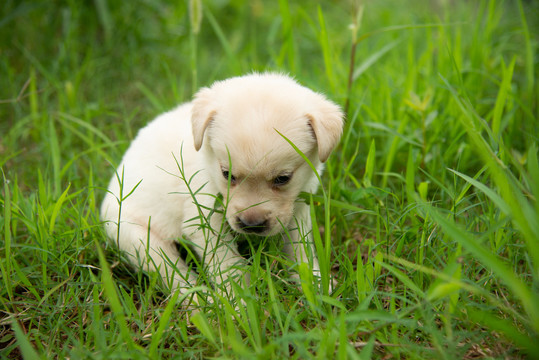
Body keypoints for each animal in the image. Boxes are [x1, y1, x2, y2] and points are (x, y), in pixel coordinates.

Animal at [100, 72, 344, 300]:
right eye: (227, 174)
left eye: (283, 178)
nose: (251, 224)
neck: (208, 166)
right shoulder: (203, 220)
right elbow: (227, 263)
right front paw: (238, 301)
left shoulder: (299, 206)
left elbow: (300, 248)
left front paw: (316, 284)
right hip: (137, 237)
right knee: (172, 273)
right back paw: (201, 302)